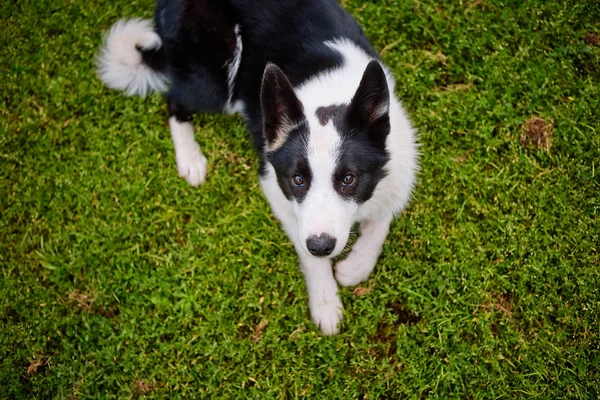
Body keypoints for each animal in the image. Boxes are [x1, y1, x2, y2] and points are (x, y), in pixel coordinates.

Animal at [98, 0, 418, 336]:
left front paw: (356, 267)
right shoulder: (276, 190)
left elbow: (381, 222)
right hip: (218, 79)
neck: (330, 96)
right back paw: (190, 159)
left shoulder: (398, 166)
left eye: (348, 179)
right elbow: (309, 254)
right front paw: (326, 302)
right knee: (174, 100)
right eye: (297, 179)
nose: (321, 245)